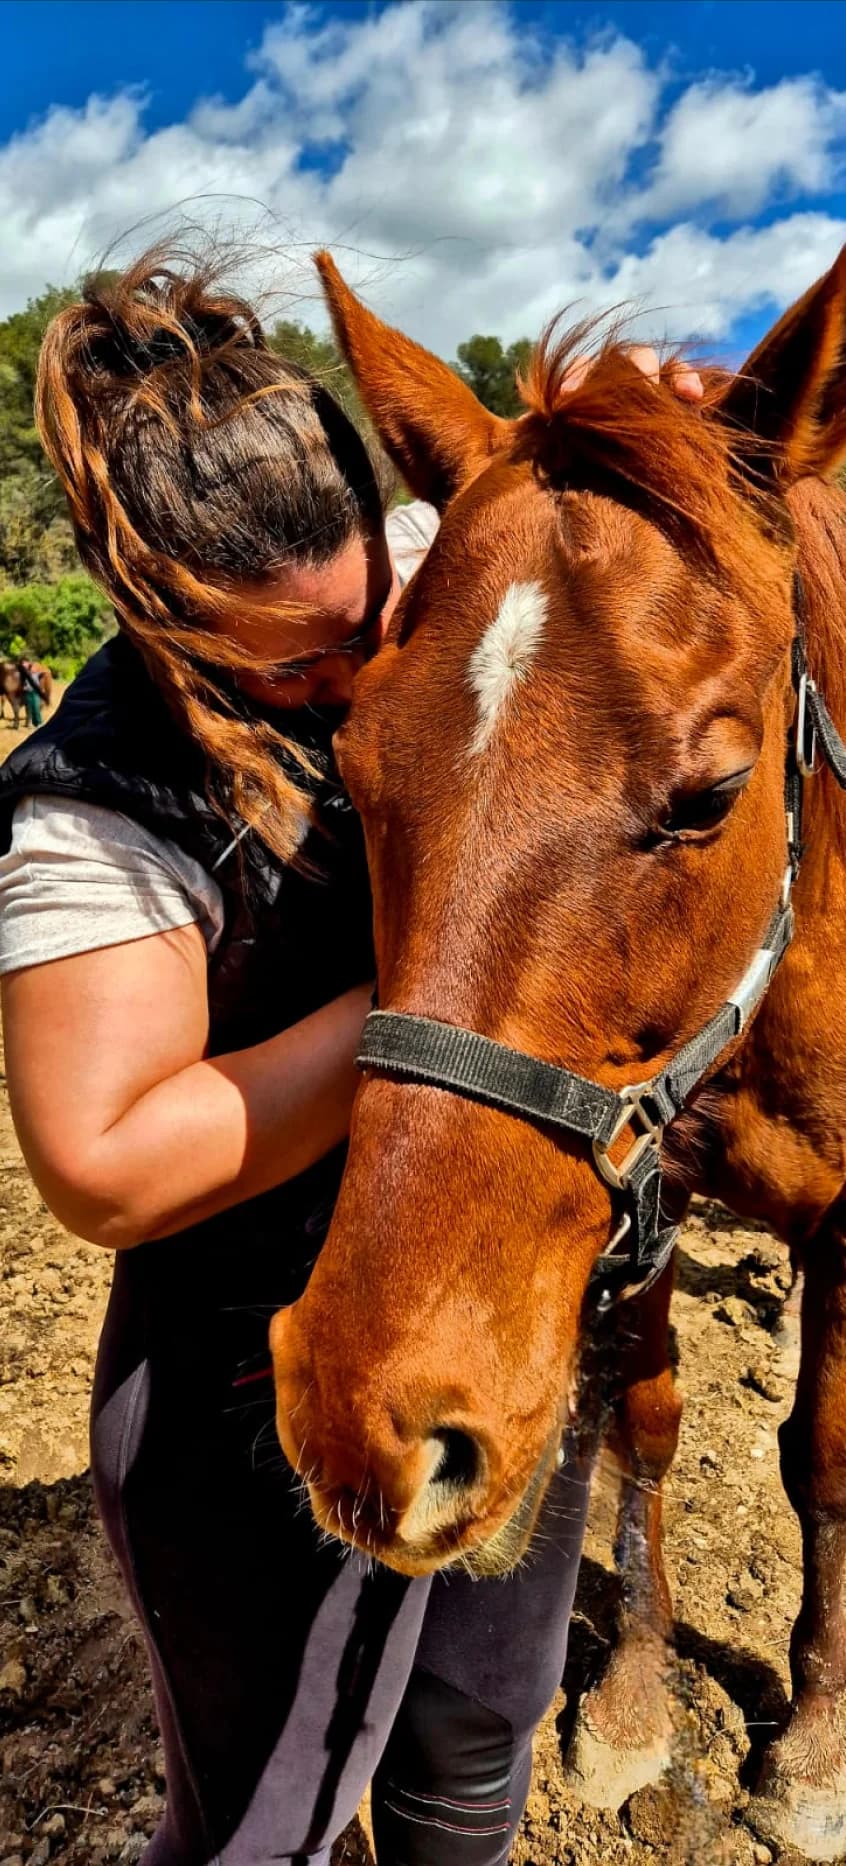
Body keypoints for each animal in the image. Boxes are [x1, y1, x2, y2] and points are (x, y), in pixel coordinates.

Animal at [269, 248, 846, 1862]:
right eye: (351, 771)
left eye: (711, 792)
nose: (366, 1420)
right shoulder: (644, 1176)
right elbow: (647, 1417)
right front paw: (636, 1700)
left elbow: (827, 1459)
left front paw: (815, 1741)